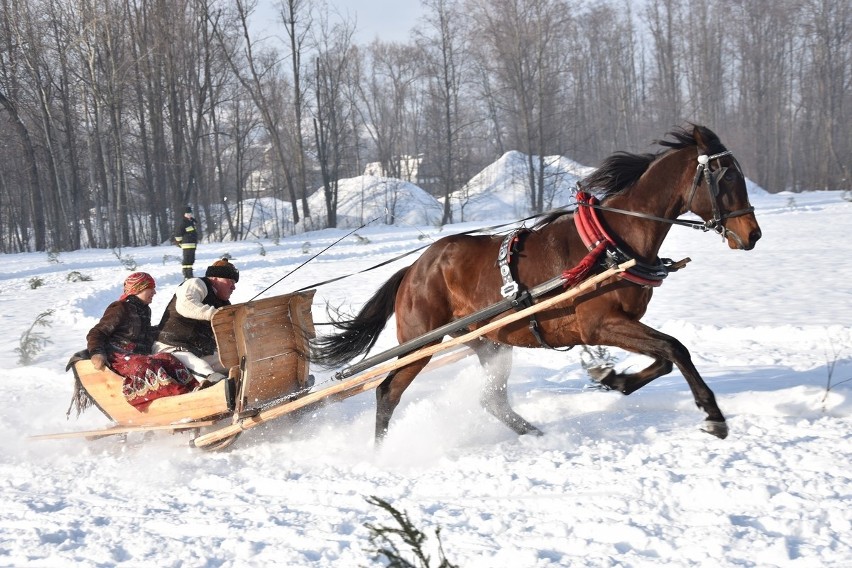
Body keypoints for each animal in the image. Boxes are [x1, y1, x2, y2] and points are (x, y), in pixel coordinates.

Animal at [314, 125, 764, 444]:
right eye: (725, 177)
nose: (752, 234)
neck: (612, 242)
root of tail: (414, 269)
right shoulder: (599, 324)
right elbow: (675, 348)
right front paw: (713, 415)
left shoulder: (619, 324)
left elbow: (666, 357)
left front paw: (613, 379)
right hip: (419, 342)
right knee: (387, 392)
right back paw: (379, 453)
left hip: (489, 342)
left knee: (491, 399)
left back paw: (535, 434)